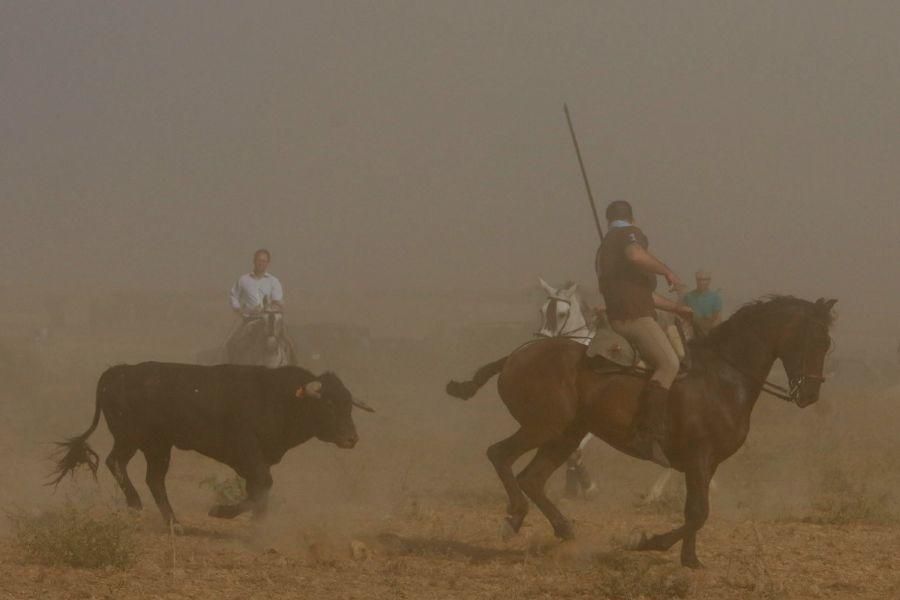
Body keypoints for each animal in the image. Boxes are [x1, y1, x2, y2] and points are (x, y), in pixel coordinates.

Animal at [50, 360, 372, 524]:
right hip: (133, 437)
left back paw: (174, 523)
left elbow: (259, 491)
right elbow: (262, 486)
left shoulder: (258, 460)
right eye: (329, 404)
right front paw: (221, 512)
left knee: (153, 478)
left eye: (349, 405)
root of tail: (118, 371)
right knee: (117, 463)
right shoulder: (248, 451)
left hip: (157, 445)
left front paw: (257, 529)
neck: (278, 397)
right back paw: (136, 503)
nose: (352, 438)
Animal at [446, 296, 832, 568]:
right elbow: (698, 512)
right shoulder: (699, 457)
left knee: (532, 478)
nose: (810, 395)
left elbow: (695, 511)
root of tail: (515, 357)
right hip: (542, 428)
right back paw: (514, 518)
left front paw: (690, 560)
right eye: (814, 339)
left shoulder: (705, 465)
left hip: (564, 436)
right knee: (500, 455)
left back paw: (565, 529)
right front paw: (645, 542)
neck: (722, 377)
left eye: (827, 343)